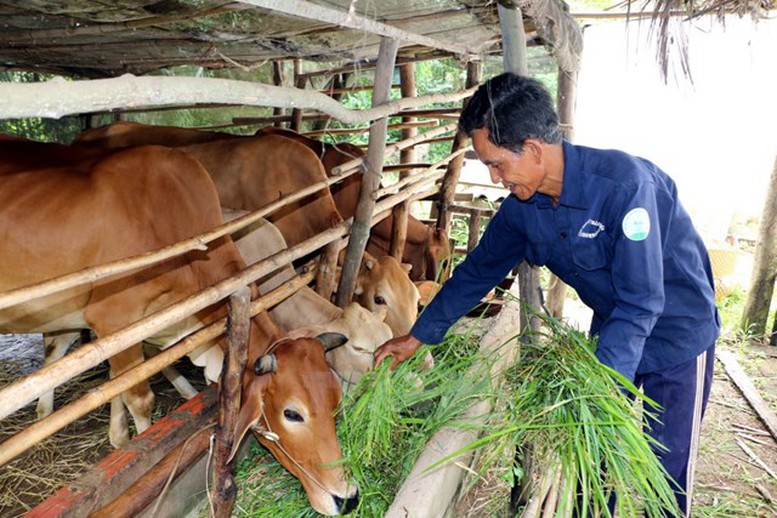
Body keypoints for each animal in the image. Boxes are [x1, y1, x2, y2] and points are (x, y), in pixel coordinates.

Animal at [0, 145, 358, 516]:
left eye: (335, 397)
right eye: (292, 413)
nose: (347, 497)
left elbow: (116, 385)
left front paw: (118, 437)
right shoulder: (116, 322)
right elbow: (140, 400)